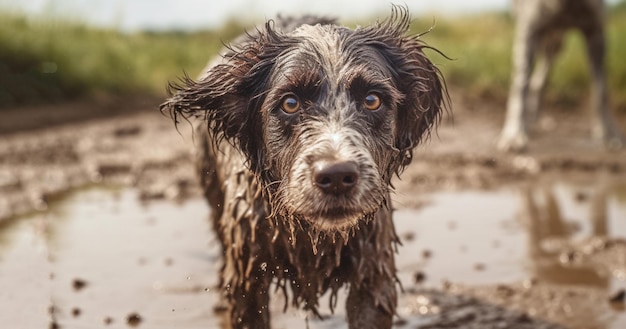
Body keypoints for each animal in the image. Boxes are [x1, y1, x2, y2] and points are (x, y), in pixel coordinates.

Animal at [498, 0, 624, 151]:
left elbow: (601, 90)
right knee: (532, 80)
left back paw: (536, 118)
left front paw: (608, 133)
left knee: (539, 81)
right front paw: (514, 134)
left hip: (555, 45)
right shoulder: (529, 30)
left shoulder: (596, 32)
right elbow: (520, 86)